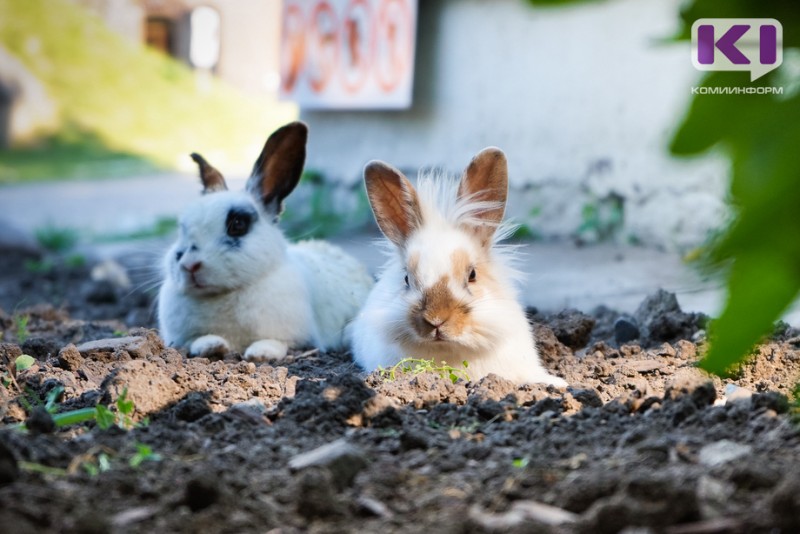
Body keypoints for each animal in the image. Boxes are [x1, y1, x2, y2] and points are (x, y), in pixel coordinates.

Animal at [161, 123, 376, 362]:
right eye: (182, 228)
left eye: (238, 225)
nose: (189, 265)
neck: (224, 294)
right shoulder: (181, 338)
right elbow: (197, 340)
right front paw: (212, 345)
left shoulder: (296, 337)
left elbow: (276, 342)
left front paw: (260, 353)